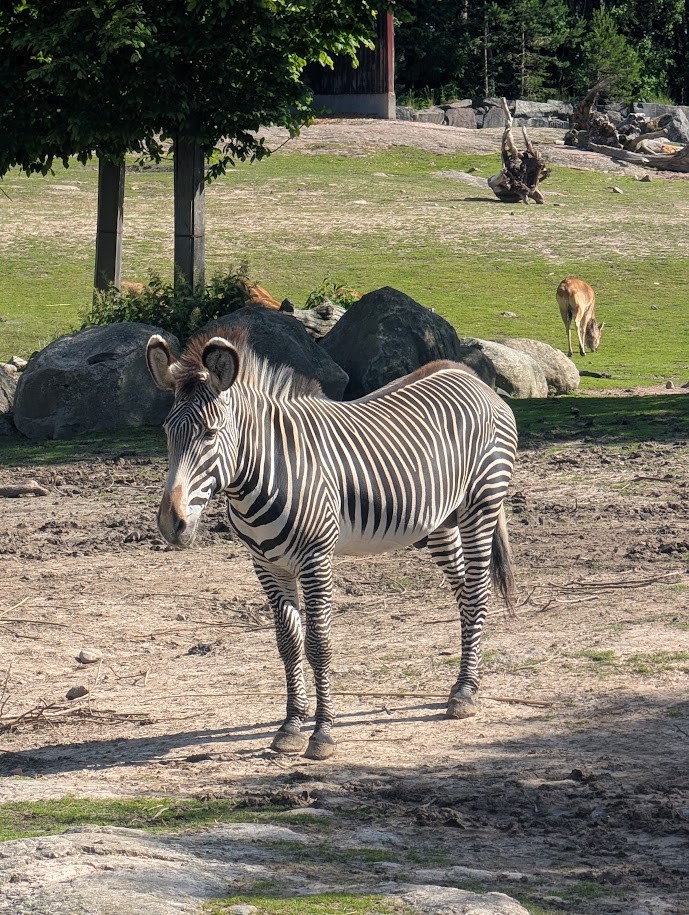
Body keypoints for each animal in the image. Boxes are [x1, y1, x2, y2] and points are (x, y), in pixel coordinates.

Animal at [146, 326, 518, 760]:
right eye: (167, 434)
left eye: (210, 433)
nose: (171, 524)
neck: (266, 469)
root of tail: (469, 376)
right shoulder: (267, 564)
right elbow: (288, 644)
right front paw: (291, 726)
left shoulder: (315, 559)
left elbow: (318, 645)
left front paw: (322, 733)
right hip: (442, 520)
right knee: (464, 592)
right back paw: (462, 683)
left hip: (482, 505)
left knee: (477, 591)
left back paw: (465, 694)